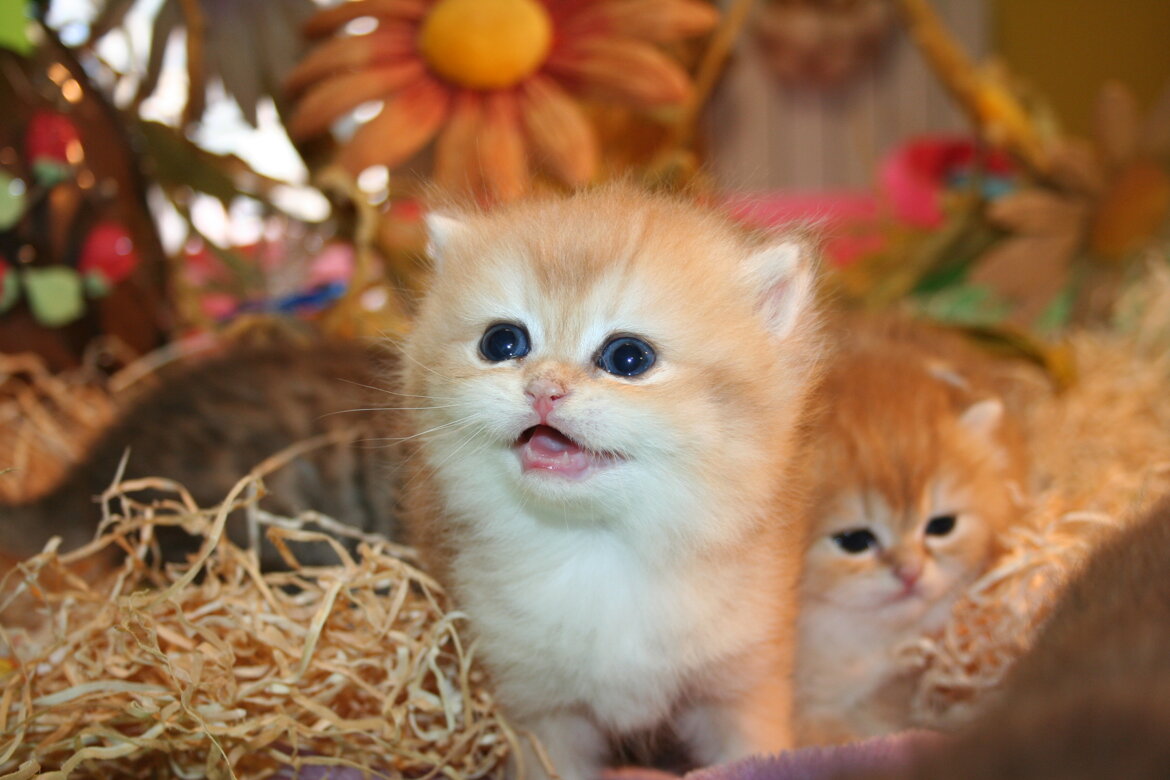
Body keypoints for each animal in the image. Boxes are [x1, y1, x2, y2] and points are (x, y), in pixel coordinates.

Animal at [396, 184, 824, 780]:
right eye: (502, 343)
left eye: (628, 357)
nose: (543, 389)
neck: (598, 546)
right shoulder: (541, 712)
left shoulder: (740, 685)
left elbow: (753, 753)